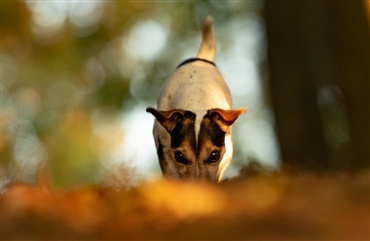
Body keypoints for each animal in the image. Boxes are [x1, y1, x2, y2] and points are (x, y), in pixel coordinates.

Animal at [147, 17, 246, 182]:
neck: (196, 101)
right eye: (180, 156)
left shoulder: (227, 153)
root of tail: (200, 58)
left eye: (214, 155)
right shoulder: (165, 153)